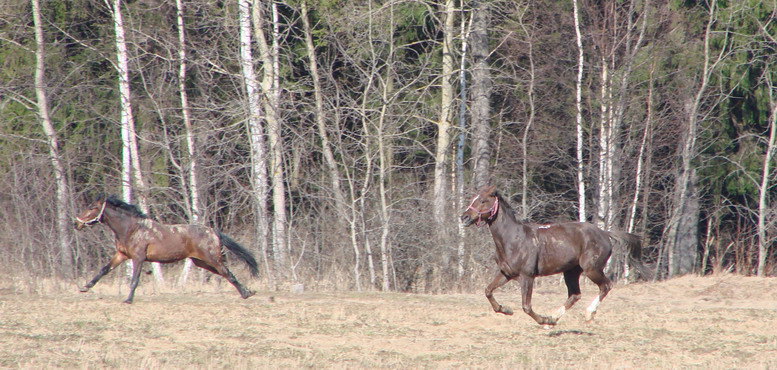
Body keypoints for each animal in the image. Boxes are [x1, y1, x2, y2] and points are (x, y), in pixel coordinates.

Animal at [74, 194, 260, 304]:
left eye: (92, 207)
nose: (76, 224)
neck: (131, 228)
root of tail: (213, 231)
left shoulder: (138, 257)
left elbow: (135, 279)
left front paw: (128, 299)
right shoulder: (121, 255)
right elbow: (104, 270)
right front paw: (85, 287)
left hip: (212, 258)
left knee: (227, 272)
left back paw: (246, 293)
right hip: (201, 262)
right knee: (224, 273)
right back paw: (247, 291)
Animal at [458, 186, 640, 326]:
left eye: (483, 200)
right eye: (474, 198)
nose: (464, 217)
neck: (513, 239)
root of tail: (605, 233)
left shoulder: (527, 276)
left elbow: (526, 306)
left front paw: (542, 320)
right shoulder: (506, 273)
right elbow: (488, 291)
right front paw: (506, 310)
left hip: (592, 269)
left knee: (606, 286)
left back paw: (587, 314)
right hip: (571, 272)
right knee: (575, 295)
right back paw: (553, 319)